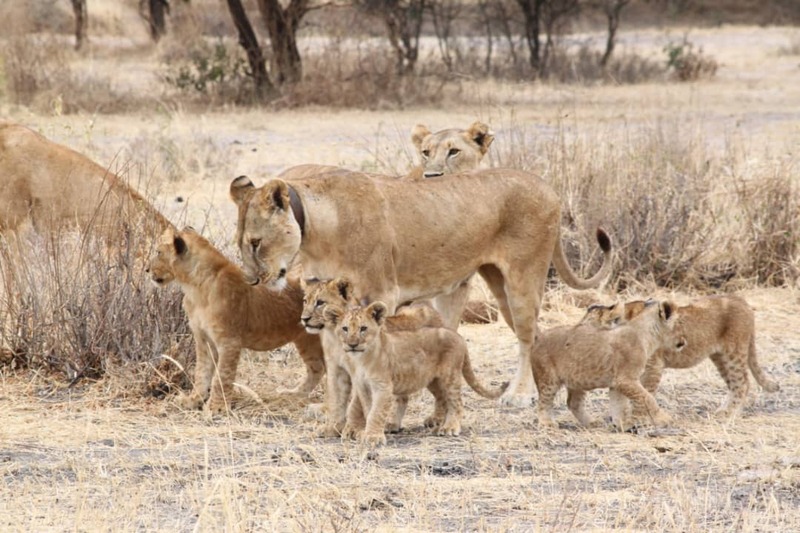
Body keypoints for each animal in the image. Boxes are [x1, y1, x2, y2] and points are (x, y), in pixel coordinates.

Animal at [147, 228, 324, 412]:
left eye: (158, 252)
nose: (146, 269)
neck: (194, 288)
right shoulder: (203, 340)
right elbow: (202, 372)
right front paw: (193, 400)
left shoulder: (229, 342)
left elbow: (222, 376)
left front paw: (216, 407)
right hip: (306, 339)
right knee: (317, 369)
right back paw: (294, 395)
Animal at [320, 300, 504, 444]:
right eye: (345, 329)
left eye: (363, 328)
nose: (352, 344)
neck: (361, 359)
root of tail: (458, 336)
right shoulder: (362, 387)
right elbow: (366, 409)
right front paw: (364, 432)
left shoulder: (382, 387)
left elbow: (375, 412)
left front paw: (372, 437)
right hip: (431, 378)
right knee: (440, 398)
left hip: (449, 376)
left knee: (456, 402)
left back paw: (450, 427)